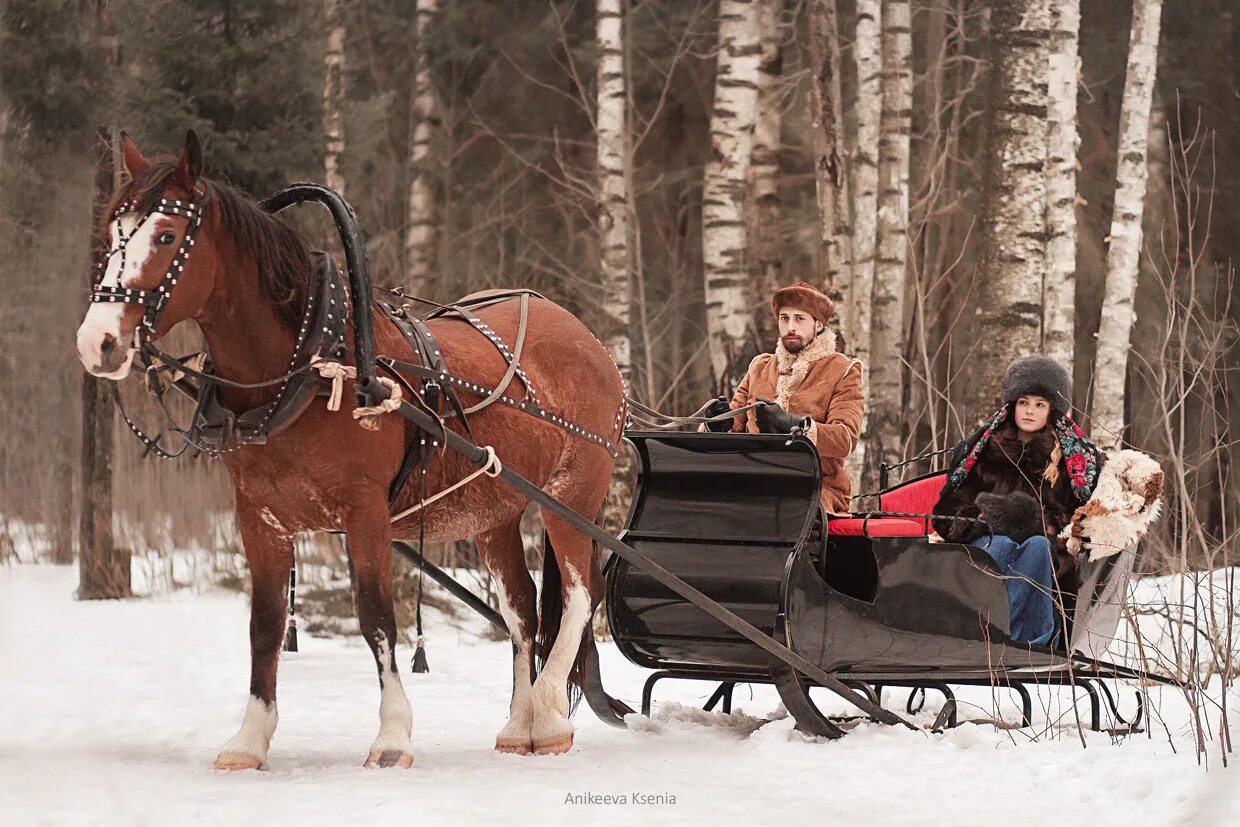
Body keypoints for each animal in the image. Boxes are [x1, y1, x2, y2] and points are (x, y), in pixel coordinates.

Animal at [72, 129, 624, 768]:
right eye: (112, 231)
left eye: (165, 235)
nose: (97, 341)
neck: (307, 367)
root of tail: (588, 339)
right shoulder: (258, 516)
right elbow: (265, 625)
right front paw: (250, 738)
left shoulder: (365, 511)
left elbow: (376, 617)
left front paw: (392, 736)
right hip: (495, 514)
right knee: (521, 609)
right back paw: (520, 724)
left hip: (574, 495)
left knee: (582, 595)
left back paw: (551, 713)